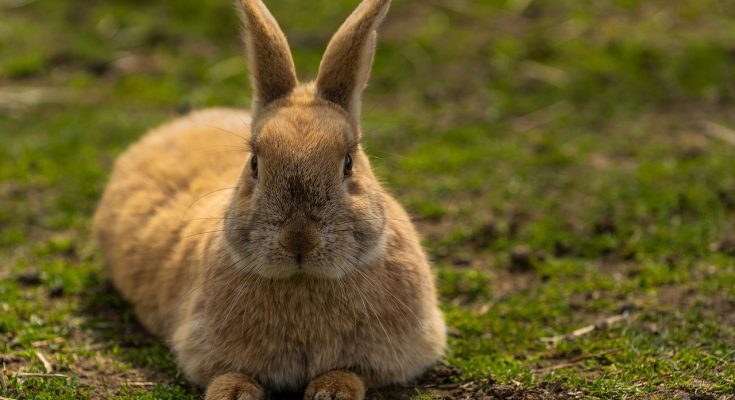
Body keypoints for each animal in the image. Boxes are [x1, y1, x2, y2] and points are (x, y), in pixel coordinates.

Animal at [93, 0, 448, 400]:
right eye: (254, 164)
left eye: (348, 163)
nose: (299, 240)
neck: (303, 281)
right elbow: (228, 372)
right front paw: (233, 394)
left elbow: (353, 371)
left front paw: (332, 391)